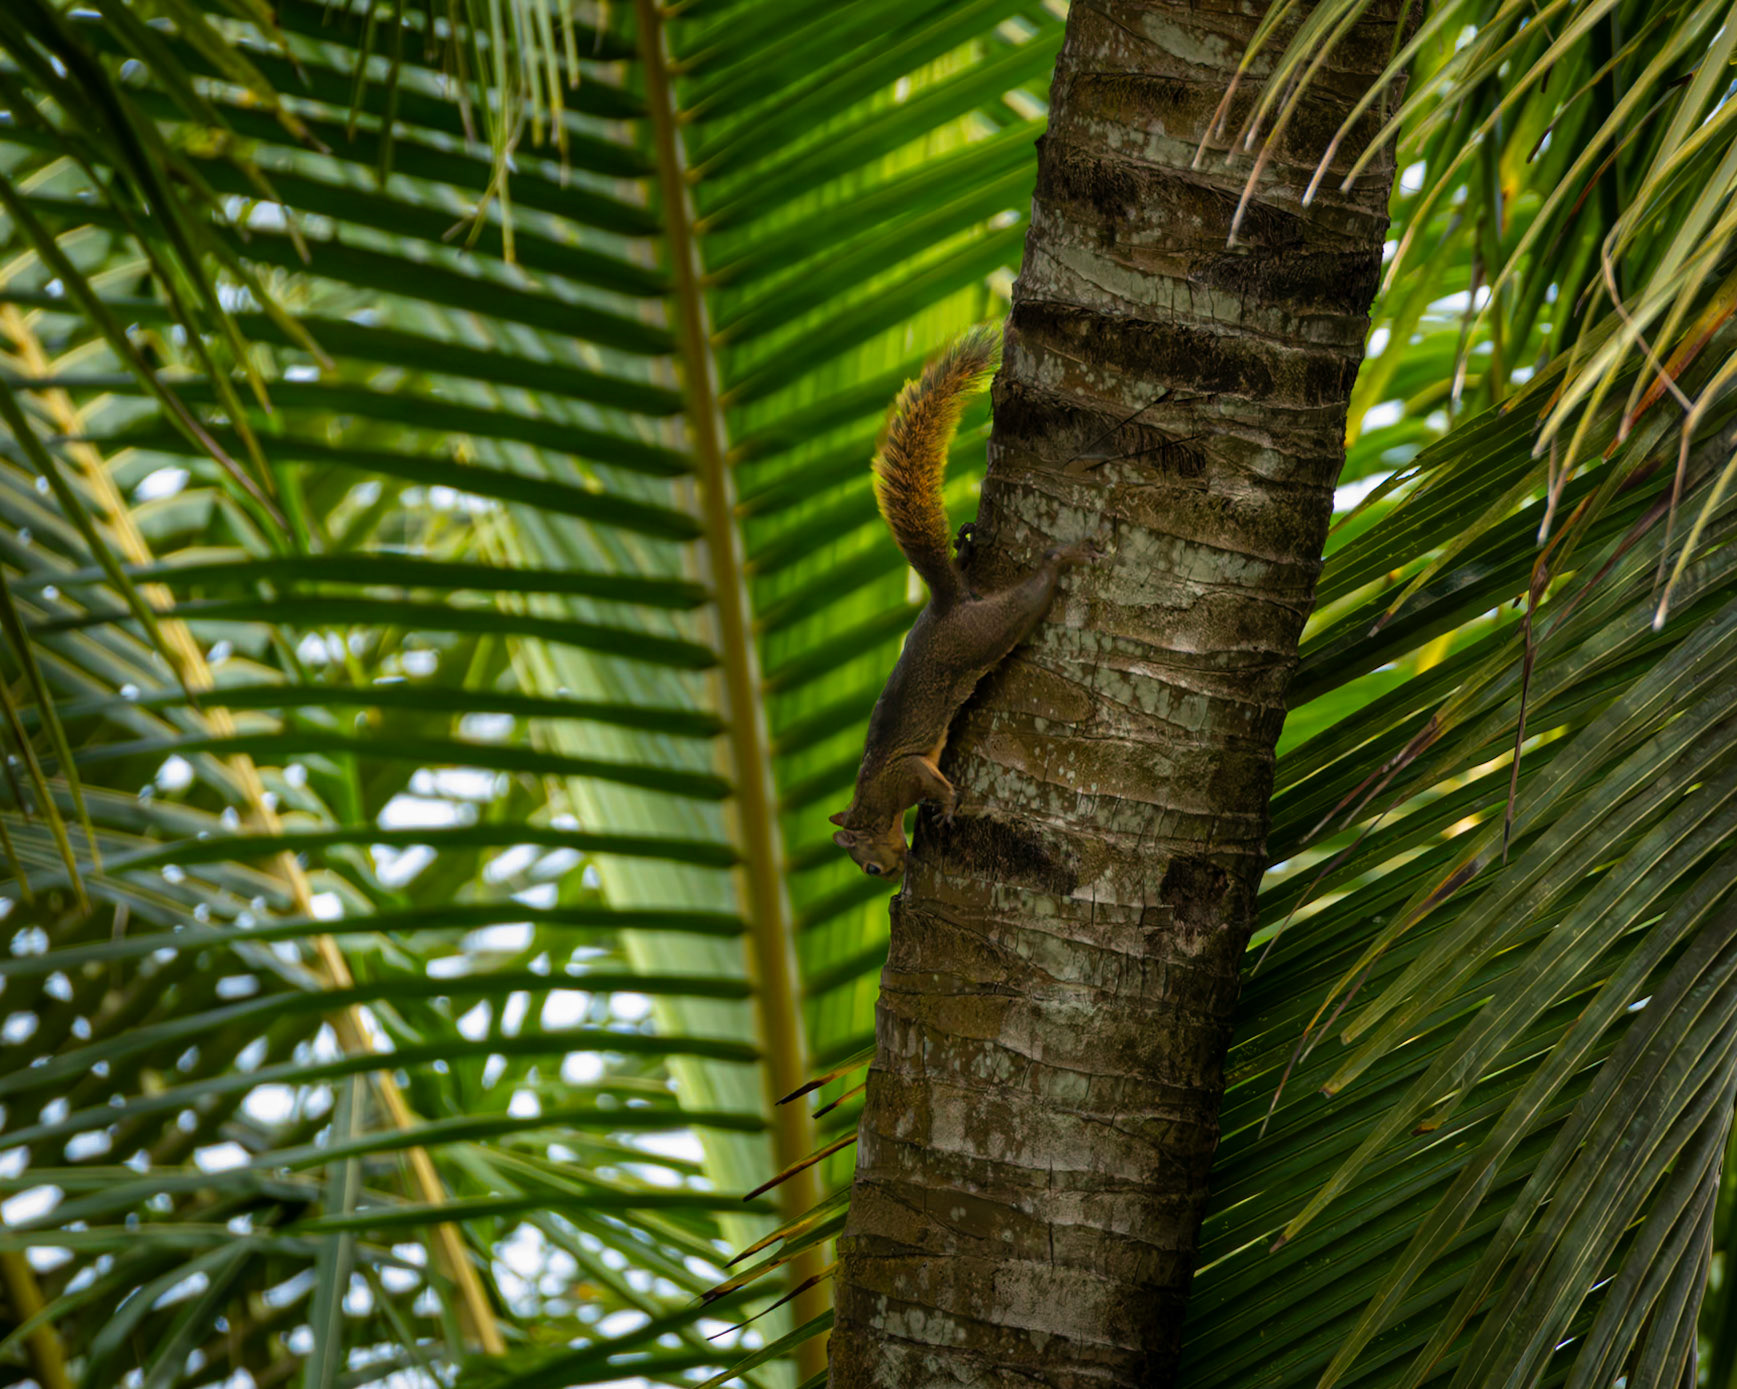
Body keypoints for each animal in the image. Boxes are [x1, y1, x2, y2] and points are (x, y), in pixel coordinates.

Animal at [829, 324, 1101, 879]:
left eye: (869, 869)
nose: (894, 873)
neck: (872, 803)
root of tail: (945, 605)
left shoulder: (906, 774)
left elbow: (932, 783)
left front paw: (950, 807)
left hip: (982, 634)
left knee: (1029, 595)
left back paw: (1061, 558)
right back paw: (966, 549)